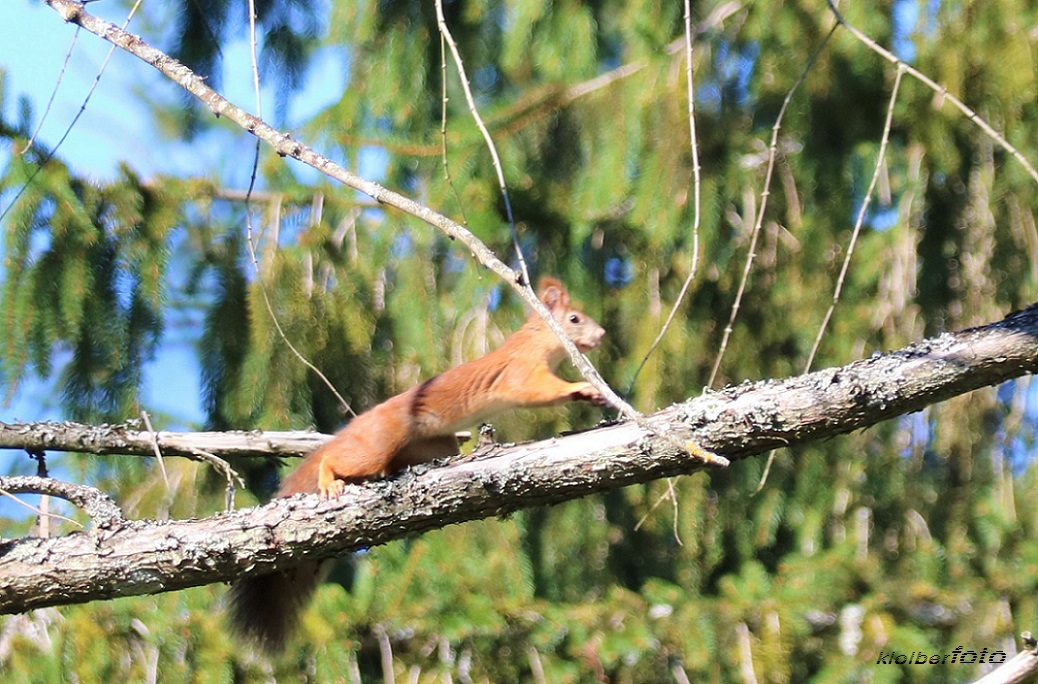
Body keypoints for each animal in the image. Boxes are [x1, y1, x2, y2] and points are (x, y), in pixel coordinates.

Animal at [227, 276, 606, 651]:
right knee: (339, 458)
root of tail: (363, 421)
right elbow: (540, 390)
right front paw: (583, 388)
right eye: (574, 319)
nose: (601, 335)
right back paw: (329, 480)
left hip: (432, 444)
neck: (536, 339)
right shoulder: (522, 372)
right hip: (374, 446)